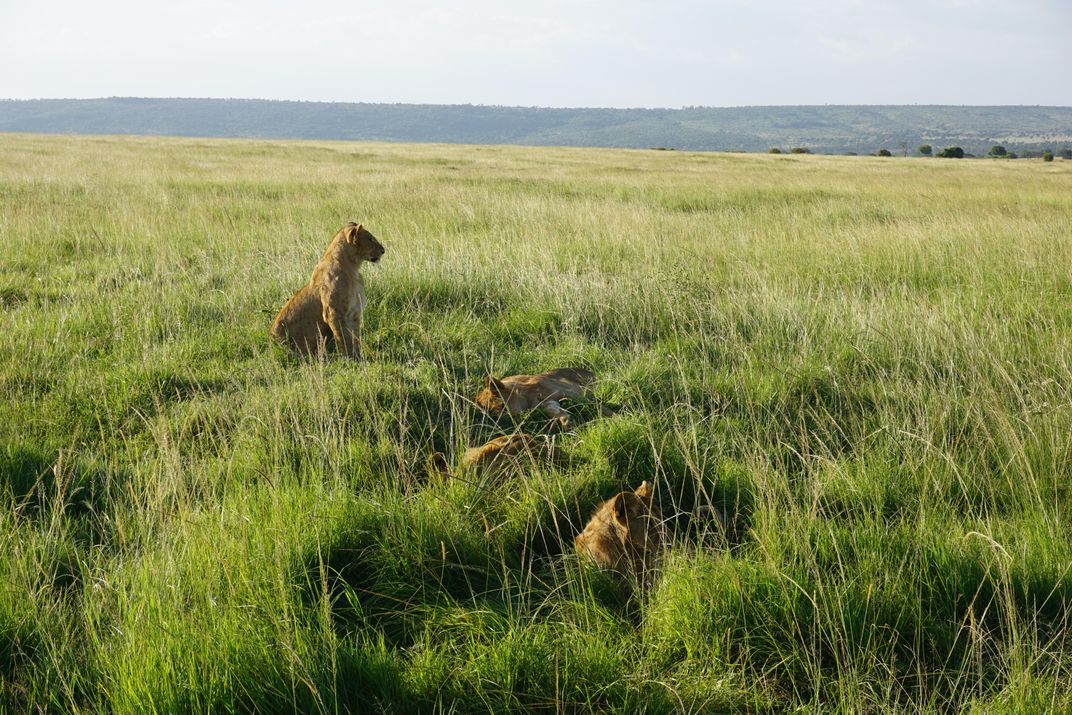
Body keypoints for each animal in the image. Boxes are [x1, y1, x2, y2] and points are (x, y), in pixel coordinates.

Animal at [268, 224, 385, 358]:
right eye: (370, 239)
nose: (383, 250)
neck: (352, 269)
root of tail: (270, 341)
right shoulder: (333, 313)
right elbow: (344, 338)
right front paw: (350, 359)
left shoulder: (353, 313)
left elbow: (355, 337)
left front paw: (359, 356)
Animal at [473, 368, 608, 424]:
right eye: (490, 412)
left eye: (500, 404)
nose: (505, 418)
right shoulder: (548, 403)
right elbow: (554, 411)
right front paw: (565, 421)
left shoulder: (580, 395)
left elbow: (601, 408)